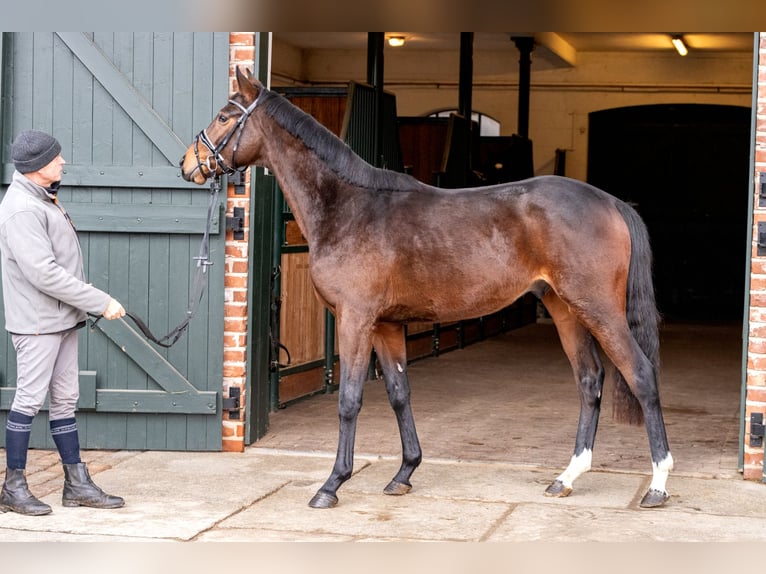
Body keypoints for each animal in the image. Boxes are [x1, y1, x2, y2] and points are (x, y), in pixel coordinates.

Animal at [180, 68, 672, 512]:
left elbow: (350, 399)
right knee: (590, 380)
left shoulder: (355, 319)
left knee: (641, 375)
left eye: (224, 116)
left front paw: (332, 484)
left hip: (598, 309)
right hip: (565, 308)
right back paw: (566, 478)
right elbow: (399, 393)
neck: (349, 207)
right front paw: (404, 473)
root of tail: (612, 202)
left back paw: (657, 485)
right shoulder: (386, 325)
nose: (188, 163)